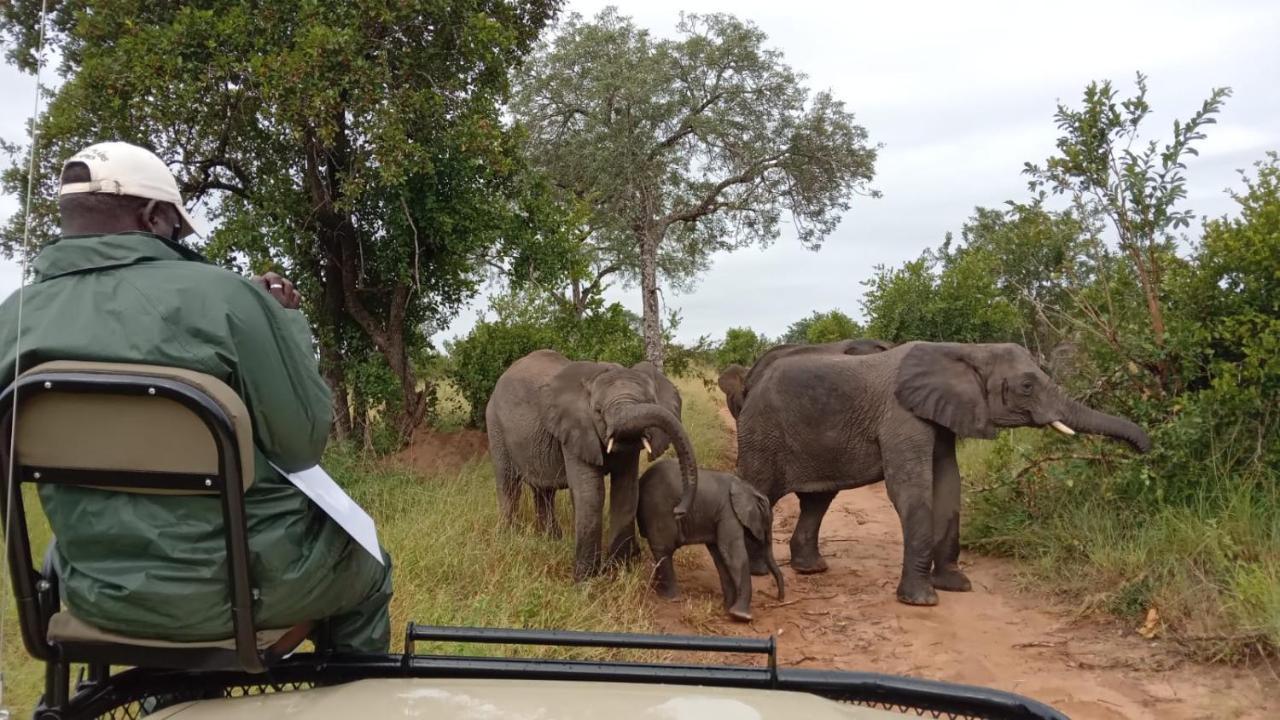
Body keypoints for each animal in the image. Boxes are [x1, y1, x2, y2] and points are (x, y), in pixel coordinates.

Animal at [483, 348, 696, 576]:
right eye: (598, 412)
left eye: (649, 401)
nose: (678, 511)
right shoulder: (575, 429)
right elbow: (591, 493)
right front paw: (587, 579)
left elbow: (626, 491)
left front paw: (617, 571)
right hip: (495, 423)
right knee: (509, 484)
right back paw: (508, 537)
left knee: (543, 490)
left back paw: (550, 540)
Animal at [637, 458, 783, 617]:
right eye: (767, 524)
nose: (779, 598)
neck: (749, 489)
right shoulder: (729, 513)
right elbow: (732, 554)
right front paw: (740, 616)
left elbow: (720, 555)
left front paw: (727, 607)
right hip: (659, 508)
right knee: (664, 549)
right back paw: (672, 598)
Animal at [737, 340, 1157, 604]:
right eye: (1026, 386)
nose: (1146, 453)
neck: (966, 349)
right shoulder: (901, 413)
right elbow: (910, 487)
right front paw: (921, 600)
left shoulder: (942, 414)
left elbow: (948, 484)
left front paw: (957, 585)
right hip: (761, 431)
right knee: (761, 491)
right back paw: (758, 573)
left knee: (817, 500)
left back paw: (812, 570)